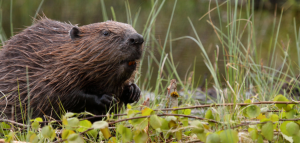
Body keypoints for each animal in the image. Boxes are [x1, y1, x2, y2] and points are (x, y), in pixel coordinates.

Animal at [0, 16, 144, 122]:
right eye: (105, 32)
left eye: (132, 27)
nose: (137, 39)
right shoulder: (47, 72)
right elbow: (57, 95)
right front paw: (105, 99)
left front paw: (133, 91)